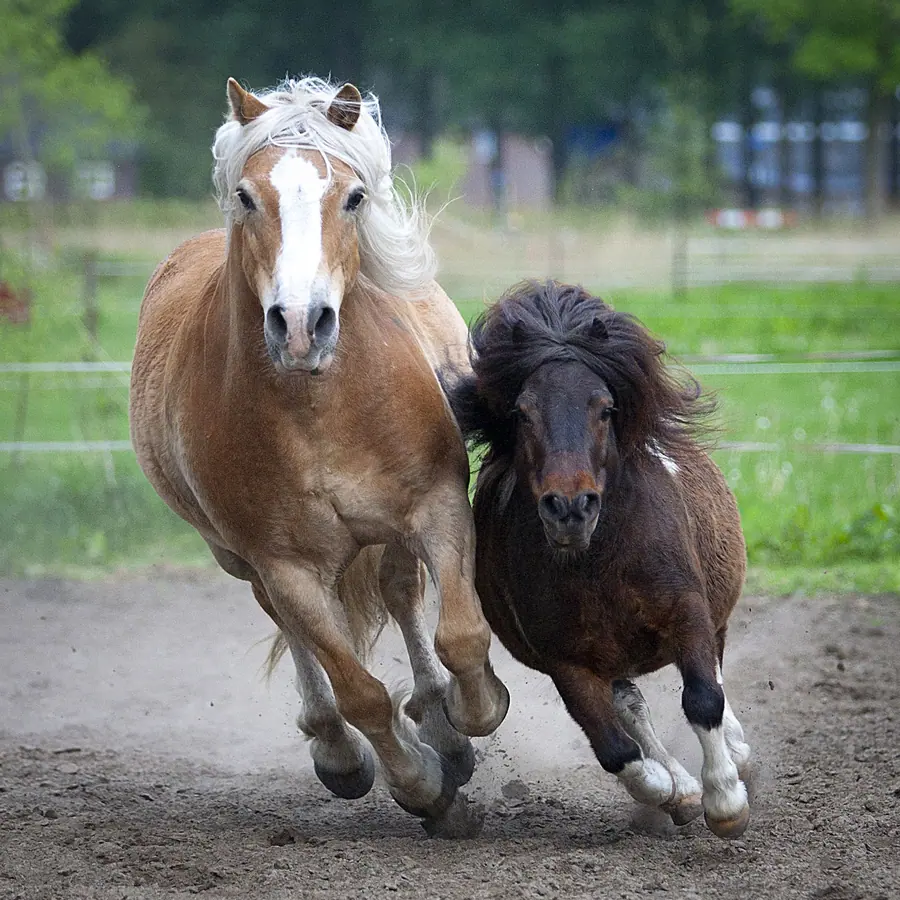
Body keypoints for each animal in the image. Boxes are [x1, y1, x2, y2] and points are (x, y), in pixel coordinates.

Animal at [129, 76, 509, 828]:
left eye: (353, 197)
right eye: (247, 196)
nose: (301, 324)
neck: (317, 408)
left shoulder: (438, 508)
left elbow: (460, 635)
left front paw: (467, 714)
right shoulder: (286, 566)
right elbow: (358, 689)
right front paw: (420, 785)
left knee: (399, 591)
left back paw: (440, 721)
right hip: (240, 557)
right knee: (297, 633)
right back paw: (340, 748)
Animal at [449, 280, 752, 840]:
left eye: (605, 408)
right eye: (522, 413)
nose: (570, 507)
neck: (600, 562)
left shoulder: (688, 613)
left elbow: (703, 698)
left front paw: (726, 801)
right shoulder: (565, 662)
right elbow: (616, 750)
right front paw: (677, 791)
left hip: (710, 619)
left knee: (713, 681)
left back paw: (738, 754)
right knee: (630, 706)